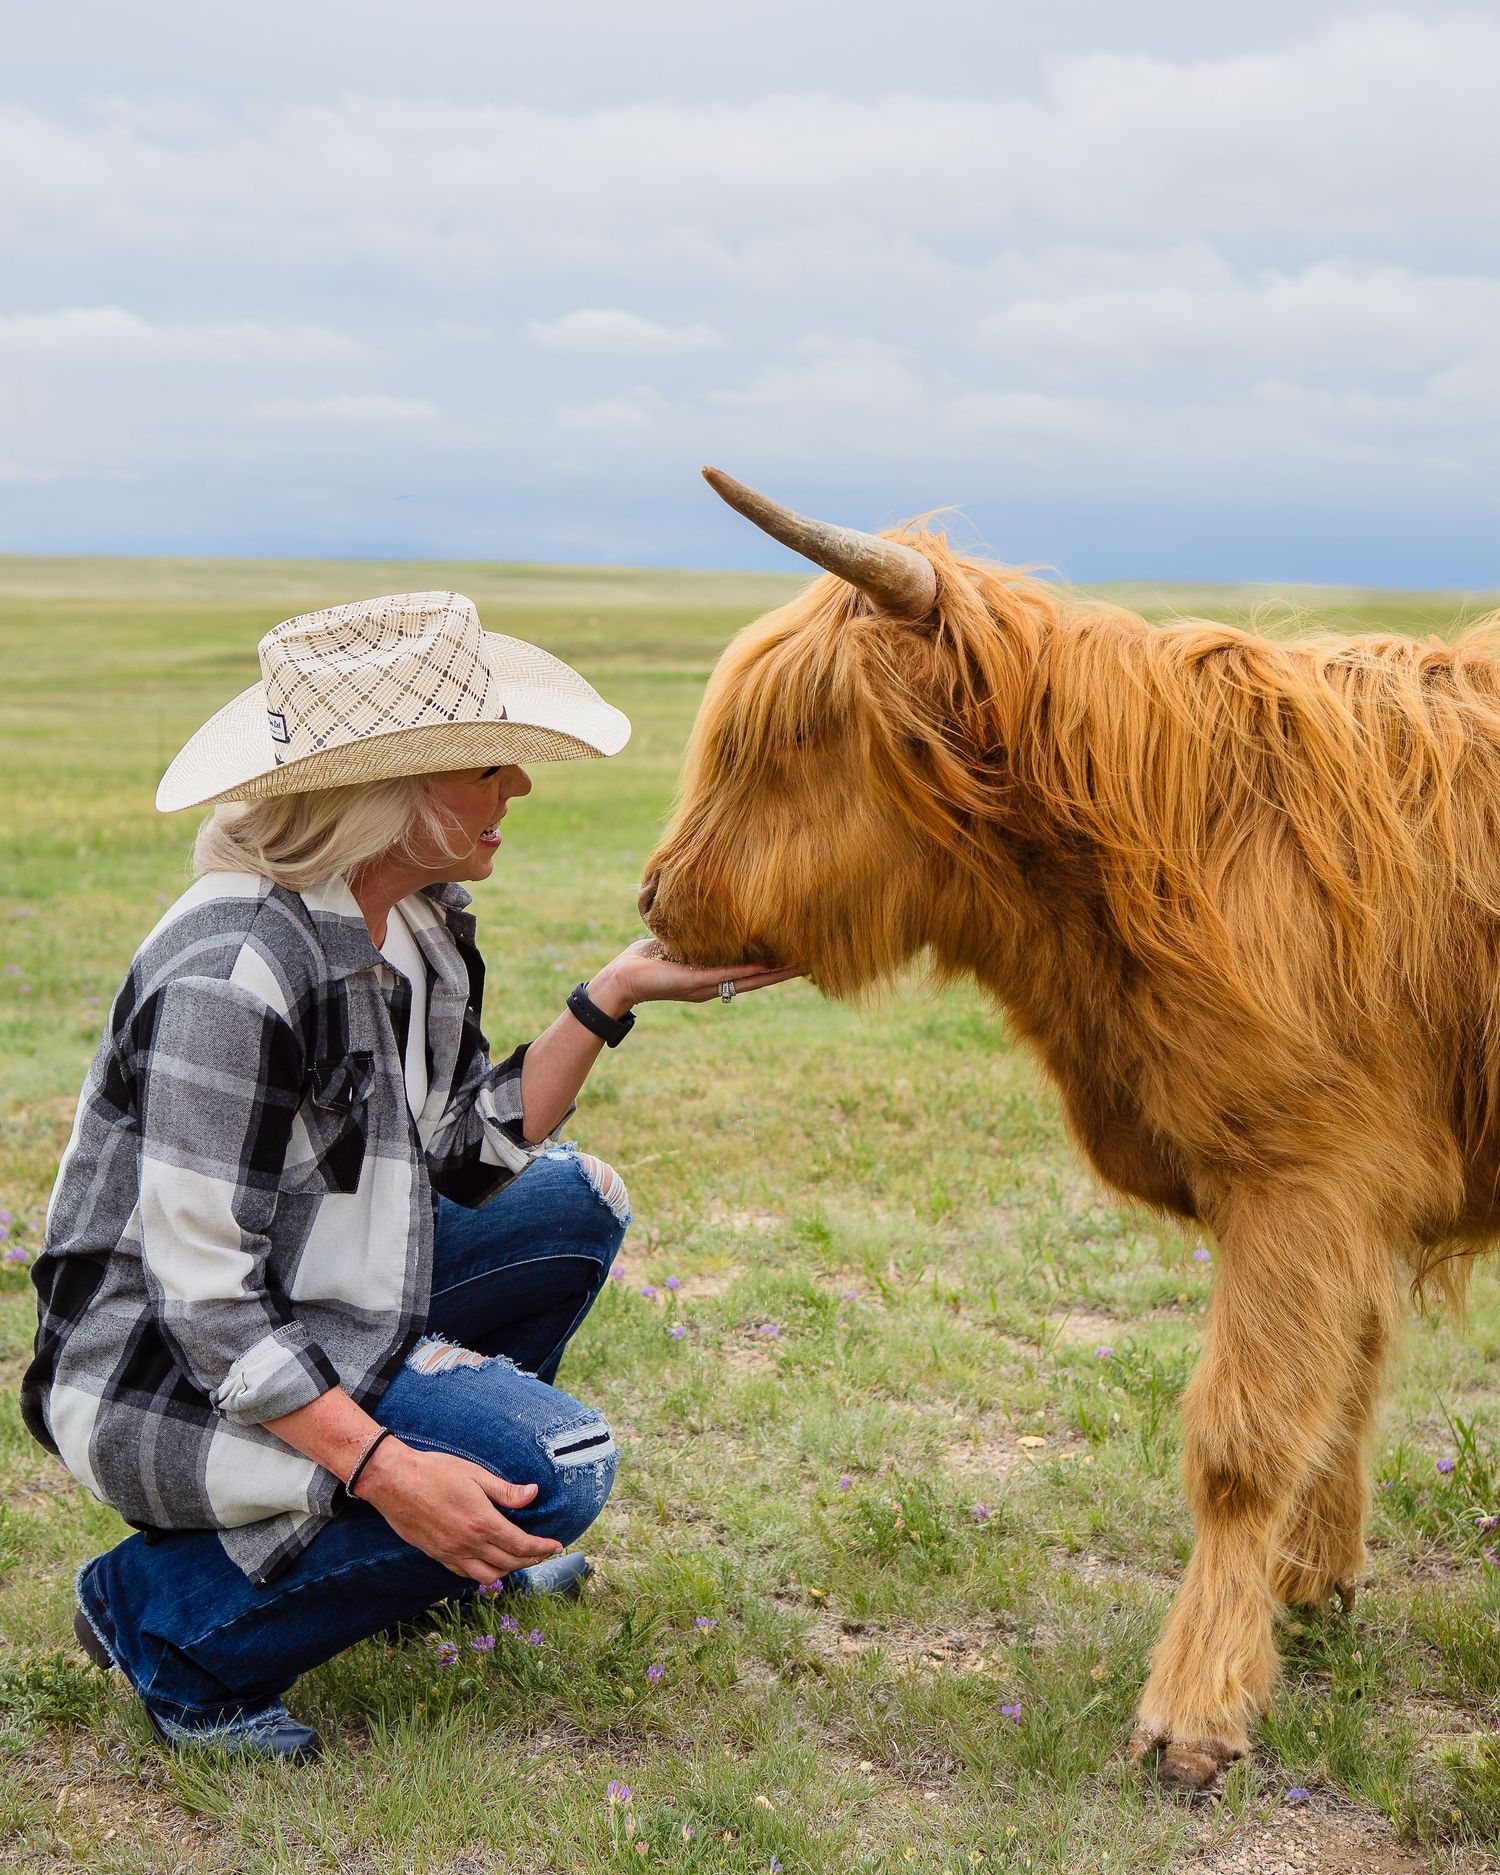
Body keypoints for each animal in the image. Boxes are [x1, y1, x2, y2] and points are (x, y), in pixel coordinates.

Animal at [638, 466, 1500, 1790]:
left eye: (788, 738)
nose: (657, 895)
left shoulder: (1305, 1177)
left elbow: (1244, 1444)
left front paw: (1194, 1715)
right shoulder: (1355, 1193)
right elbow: (1344, 1390)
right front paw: (1315, 1592)